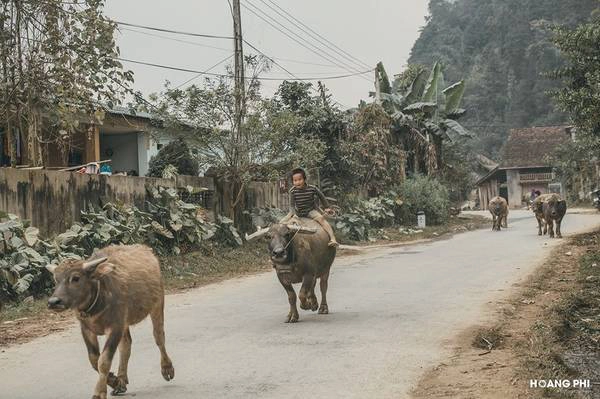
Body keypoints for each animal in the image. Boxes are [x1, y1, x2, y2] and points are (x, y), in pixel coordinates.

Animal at [46, 245, 173, 398]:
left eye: (75, 278)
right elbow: (94, 359)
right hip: (125, 322)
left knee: (159, 337)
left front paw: (99, 392)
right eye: (56, 279)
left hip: (157, 304)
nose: (54, 302)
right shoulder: (86, 329)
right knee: (126, 345)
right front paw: (114, 380)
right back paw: (122, 380)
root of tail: (146, 250)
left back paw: (167, 368)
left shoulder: (115, 327)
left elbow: (104, 361)